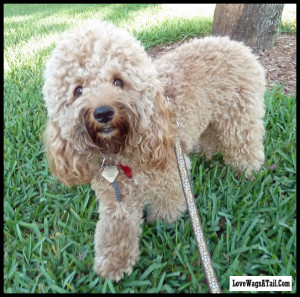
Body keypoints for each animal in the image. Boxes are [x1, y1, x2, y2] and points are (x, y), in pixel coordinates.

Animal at [42, 20, 264, 280]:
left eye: (118, 81)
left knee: (245, 144)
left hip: (239, 116)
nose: (103, 112)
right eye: (78, 90)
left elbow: (169, 200)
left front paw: (162, 220)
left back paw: (248, 172)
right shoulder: (115, 195)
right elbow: (115, 228)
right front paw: (113, 263)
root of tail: (236, 44)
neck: (123, 151)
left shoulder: (172, 170)